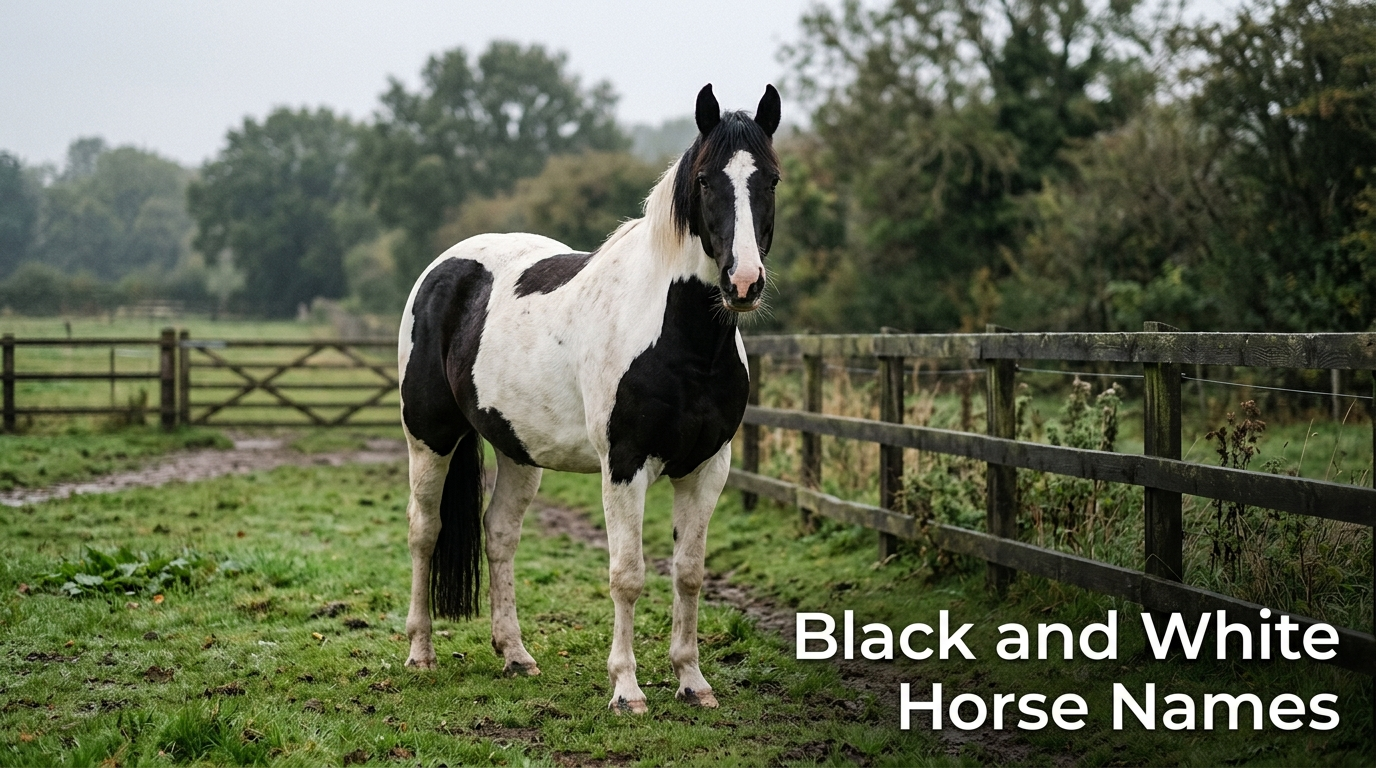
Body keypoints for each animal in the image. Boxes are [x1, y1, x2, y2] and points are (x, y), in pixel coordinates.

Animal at [397, 83, 780, 714]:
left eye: (770, 179)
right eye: (706, 181)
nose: (743, 283)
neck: (684, 341)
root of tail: (443, 268)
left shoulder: (708, 466)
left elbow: (689, 573)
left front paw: (692, 680)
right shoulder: (624, 465)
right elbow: (627, 574)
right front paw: (626, 689)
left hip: (518, 451)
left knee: (499, 533)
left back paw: (515, 655)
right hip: (430, 437)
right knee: (424, 531)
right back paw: (420, 654)